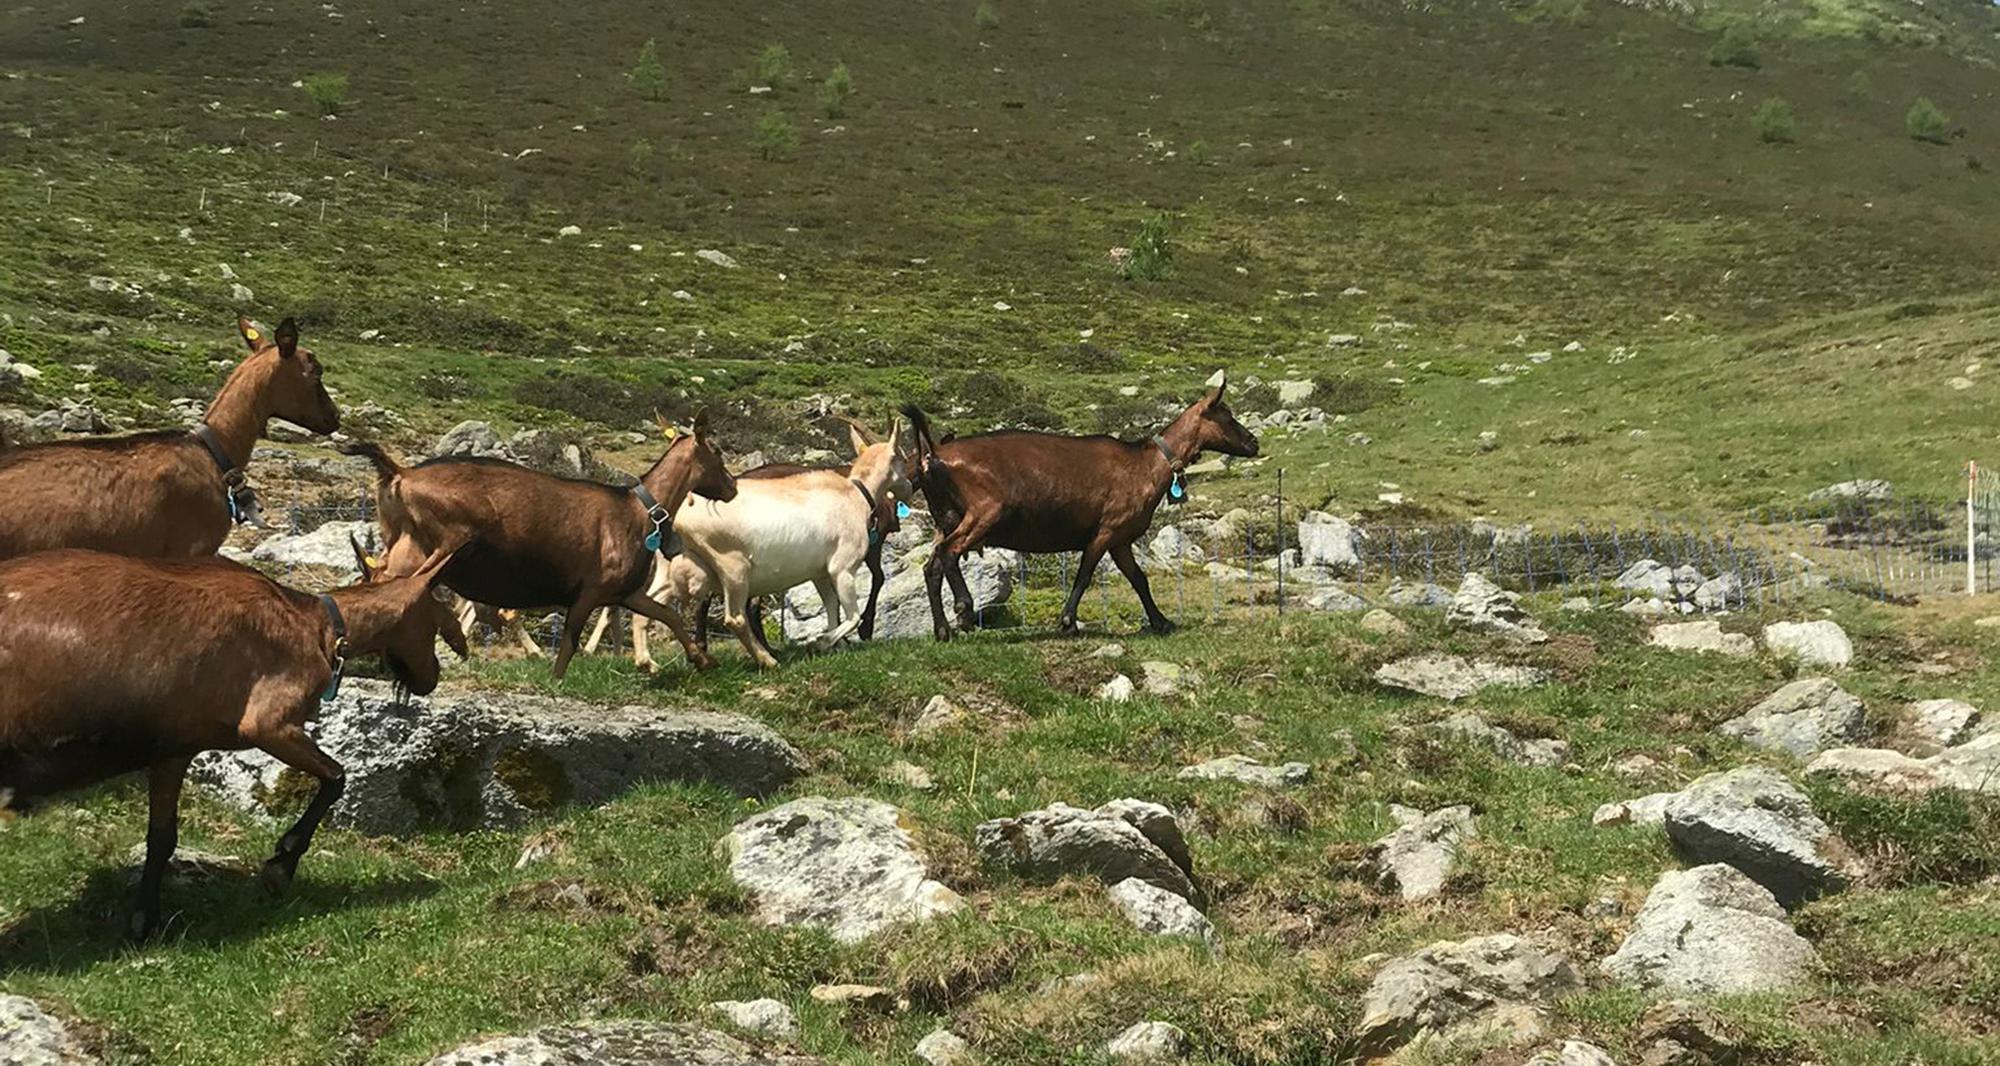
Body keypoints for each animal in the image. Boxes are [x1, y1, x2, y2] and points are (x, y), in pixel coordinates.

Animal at [0, 544, 458, 936]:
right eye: (437, 617)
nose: (432, 677)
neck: (318, 624)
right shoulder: (268, 721)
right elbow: (336, 777)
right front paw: (280, 866)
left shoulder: (174, 746)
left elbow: (162, 837)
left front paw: (144, 920)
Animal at [348, 412, 740, 676]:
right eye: (717, 450)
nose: (733, 487)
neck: (640, 508)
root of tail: (399, 474)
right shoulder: (590, 590)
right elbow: (567, 645)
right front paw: (557, 680)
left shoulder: (623, 591)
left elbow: (666, 613)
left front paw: (702, 659)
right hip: (444, 545)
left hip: (402, 545)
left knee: (376, 583)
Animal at [904, 374, 1256, 640]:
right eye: (1227, 416)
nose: (1254, 443)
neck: (1146, 464)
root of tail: (933, 455)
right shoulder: (1106, 530)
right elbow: (1084, 575)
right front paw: (1068, 622)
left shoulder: (1121, 540)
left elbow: (1138, 578)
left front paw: (1161, 622)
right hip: (984, 512)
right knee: (949, 553)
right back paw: (961, 612)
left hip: (946, 518)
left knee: (932, 565)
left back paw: (945, 628)